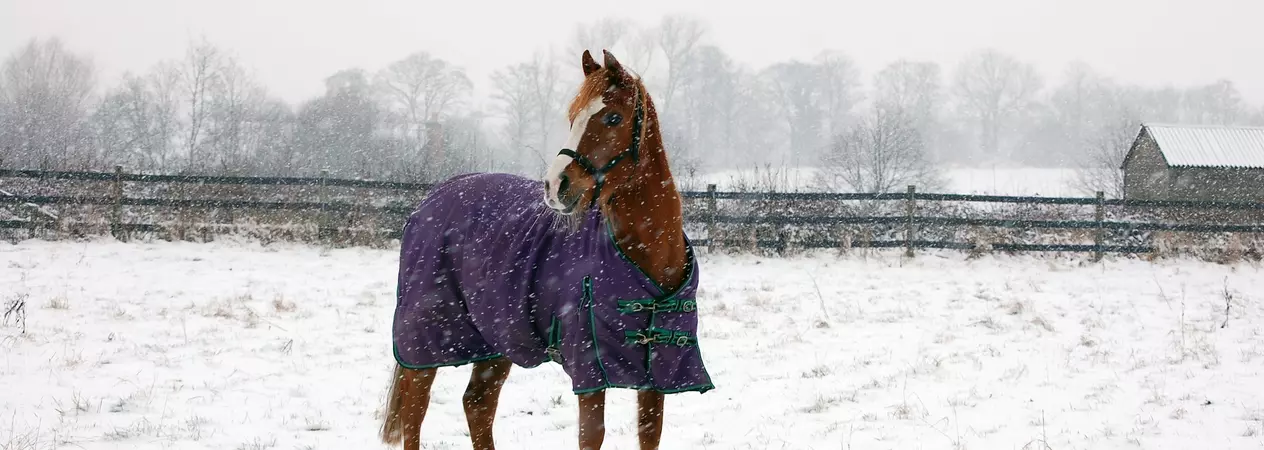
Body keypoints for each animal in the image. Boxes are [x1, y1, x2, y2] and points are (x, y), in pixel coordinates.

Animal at [378, 49, 712, 450]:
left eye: (613, 117)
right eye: (572, 117)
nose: (555, 185)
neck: (650, 260)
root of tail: (429, 201)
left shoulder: (656, 375)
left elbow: (650, 433)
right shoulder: (589, 371)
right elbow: (591, 436)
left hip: (498, 339)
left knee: (477, 403)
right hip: (427, 342)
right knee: (416, 410)